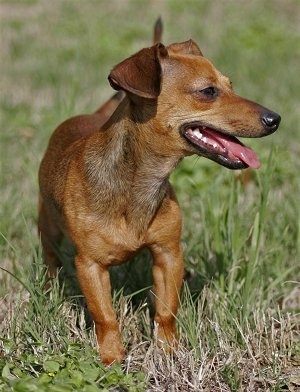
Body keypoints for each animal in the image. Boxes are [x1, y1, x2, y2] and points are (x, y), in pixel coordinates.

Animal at [38, 26, 282, 364]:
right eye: (208, 91)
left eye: (230, 86)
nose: (275, 119)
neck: (138, 184)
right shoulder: (90, 265)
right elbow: (105, 316)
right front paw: (112, 358)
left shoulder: (168, 255)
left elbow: (166, 311)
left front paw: (168, 350)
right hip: (48, 228)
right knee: (50, 259)